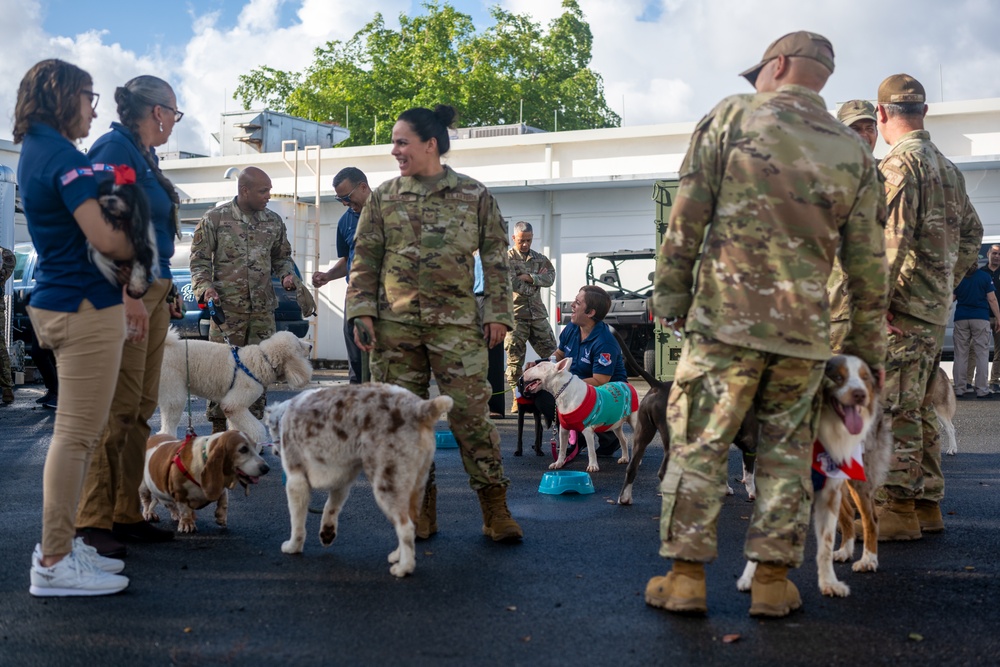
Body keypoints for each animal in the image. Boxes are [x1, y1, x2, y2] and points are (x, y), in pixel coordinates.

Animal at [92, 166, 156, 302]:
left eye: (123, 196)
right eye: (105, 193)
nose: (111, 199)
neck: (121, 219)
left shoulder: (143, 247)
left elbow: (139, 266)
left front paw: (136, 286)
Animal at [158, 328, 312, 444]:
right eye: (299, 344)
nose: (311, 346)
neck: (263, 360)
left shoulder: (234, 411)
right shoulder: (234, 406)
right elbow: (256, 429)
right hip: (173, 389)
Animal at [266, 386, 454, 580]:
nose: (274, 452)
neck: (287, 414)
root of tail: (419, 407)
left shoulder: (296, 481)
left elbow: (297, 521)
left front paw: (293, 546)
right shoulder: (342, 481)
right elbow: (330, 507)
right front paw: (327, 532)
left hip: (387, 485)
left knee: (405, 527)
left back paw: (404, 568)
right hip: (417, 485)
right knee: (412, 522)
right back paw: (397, 555)